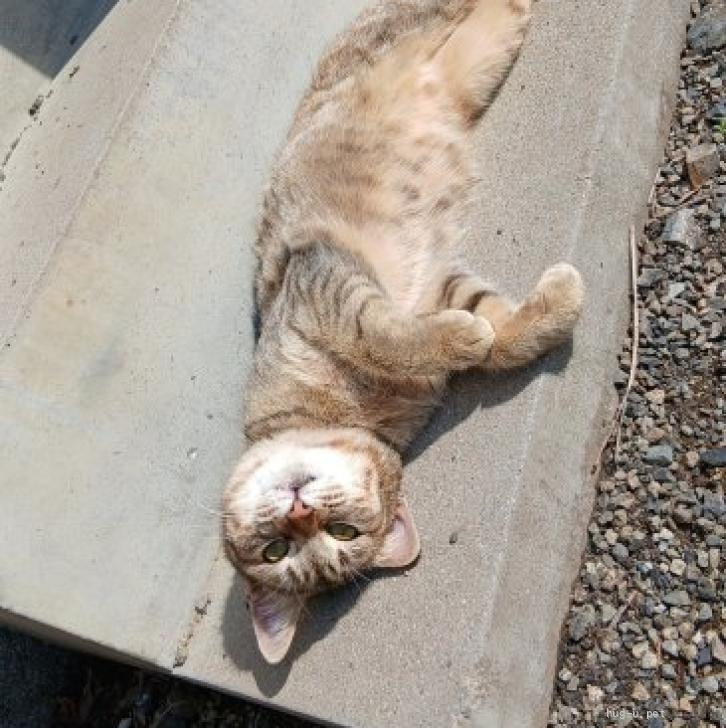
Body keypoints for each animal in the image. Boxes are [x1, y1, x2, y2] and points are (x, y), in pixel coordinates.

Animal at [222, 0, 584, 664]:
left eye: (338, 530)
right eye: (279, 551)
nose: (299, 513)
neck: (356, 413)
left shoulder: (331, 290)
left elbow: (382, 336)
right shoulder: (435, 290)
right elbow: (491, 331)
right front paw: (532, 316)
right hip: (475, 64)